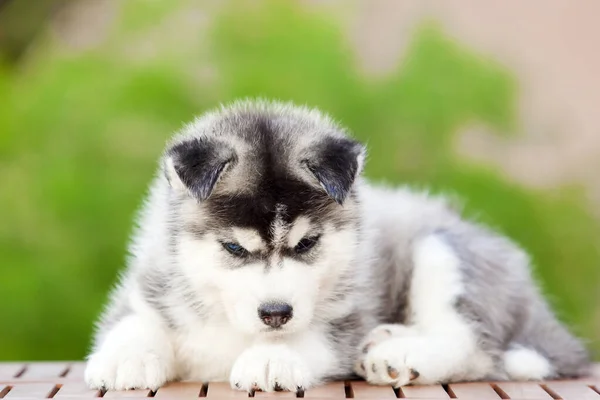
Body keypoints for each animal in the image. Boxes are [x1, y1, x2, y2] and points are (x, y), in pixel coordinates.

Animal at [85, 99, 592, 390]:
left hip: (445, 251)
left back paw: (399, 354)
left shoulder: (346, 318)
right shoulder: (148, 286)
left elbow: (310, 336)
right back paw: (391, 338)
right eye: (234, 249)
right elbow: (134, 321)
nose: (275, 313)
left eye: (307, 242)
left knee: (473, 343)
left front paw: (272, 358)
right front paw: (126, 358)